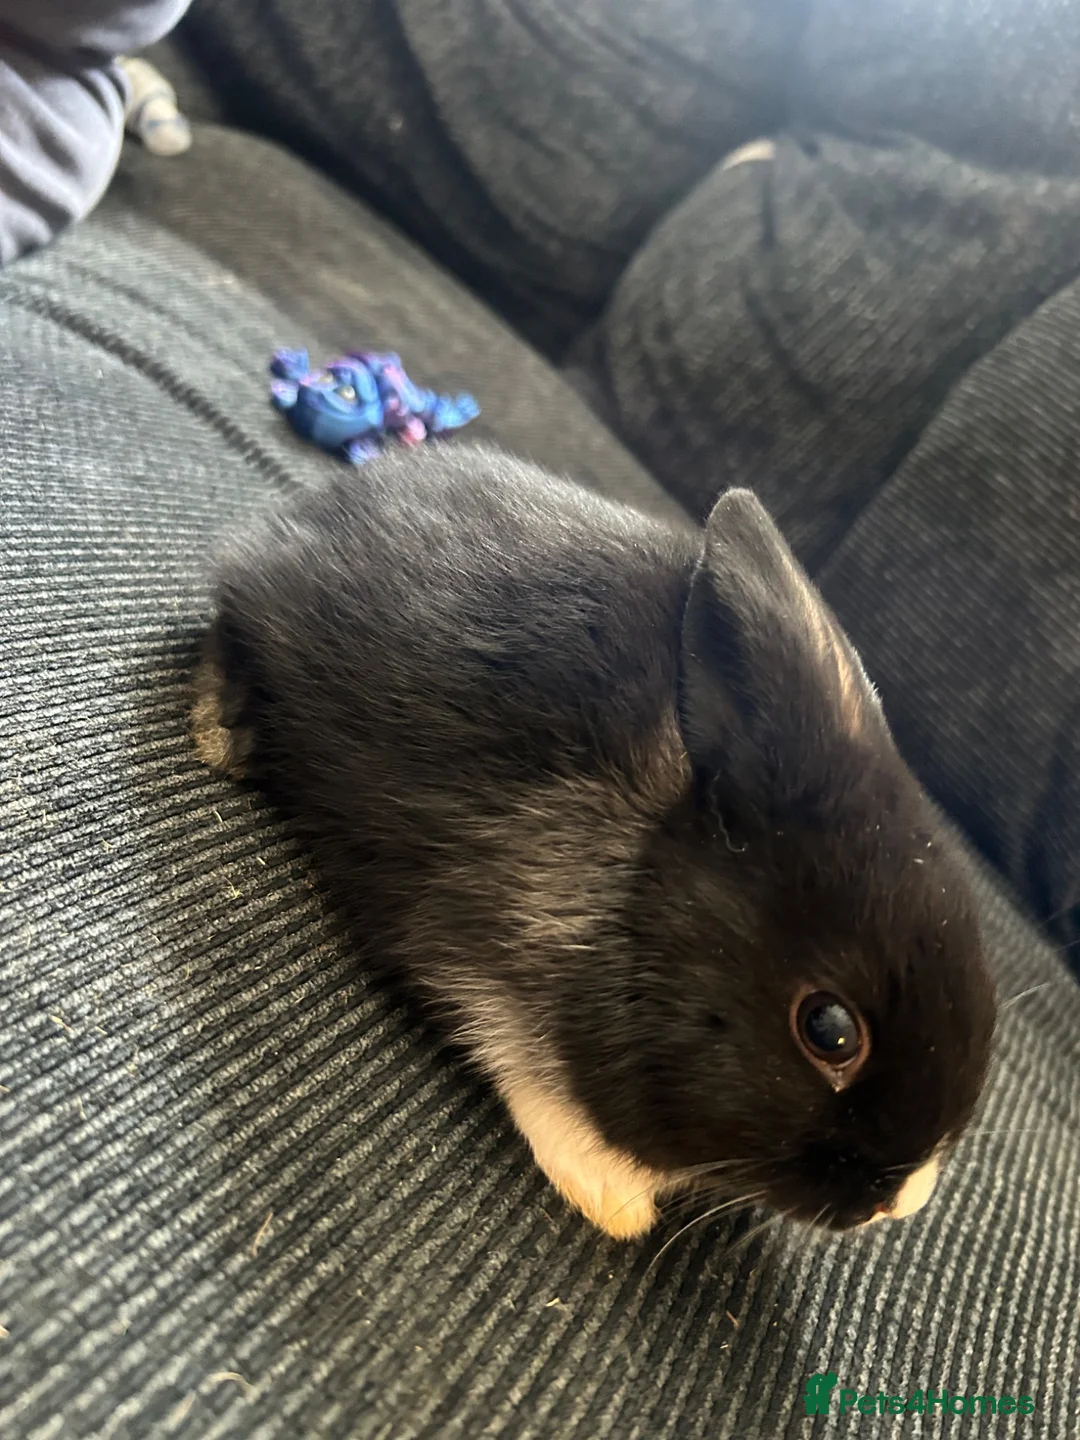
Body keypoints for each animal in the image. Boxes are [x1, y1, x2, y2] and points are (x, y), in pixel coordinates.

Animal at [191, 443, 997, 1241]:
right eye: (829, 1030)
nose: (902, 1201)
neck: (638, 880)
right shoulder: (477, 946)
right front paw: (611, 1201)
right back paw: (221, 731)